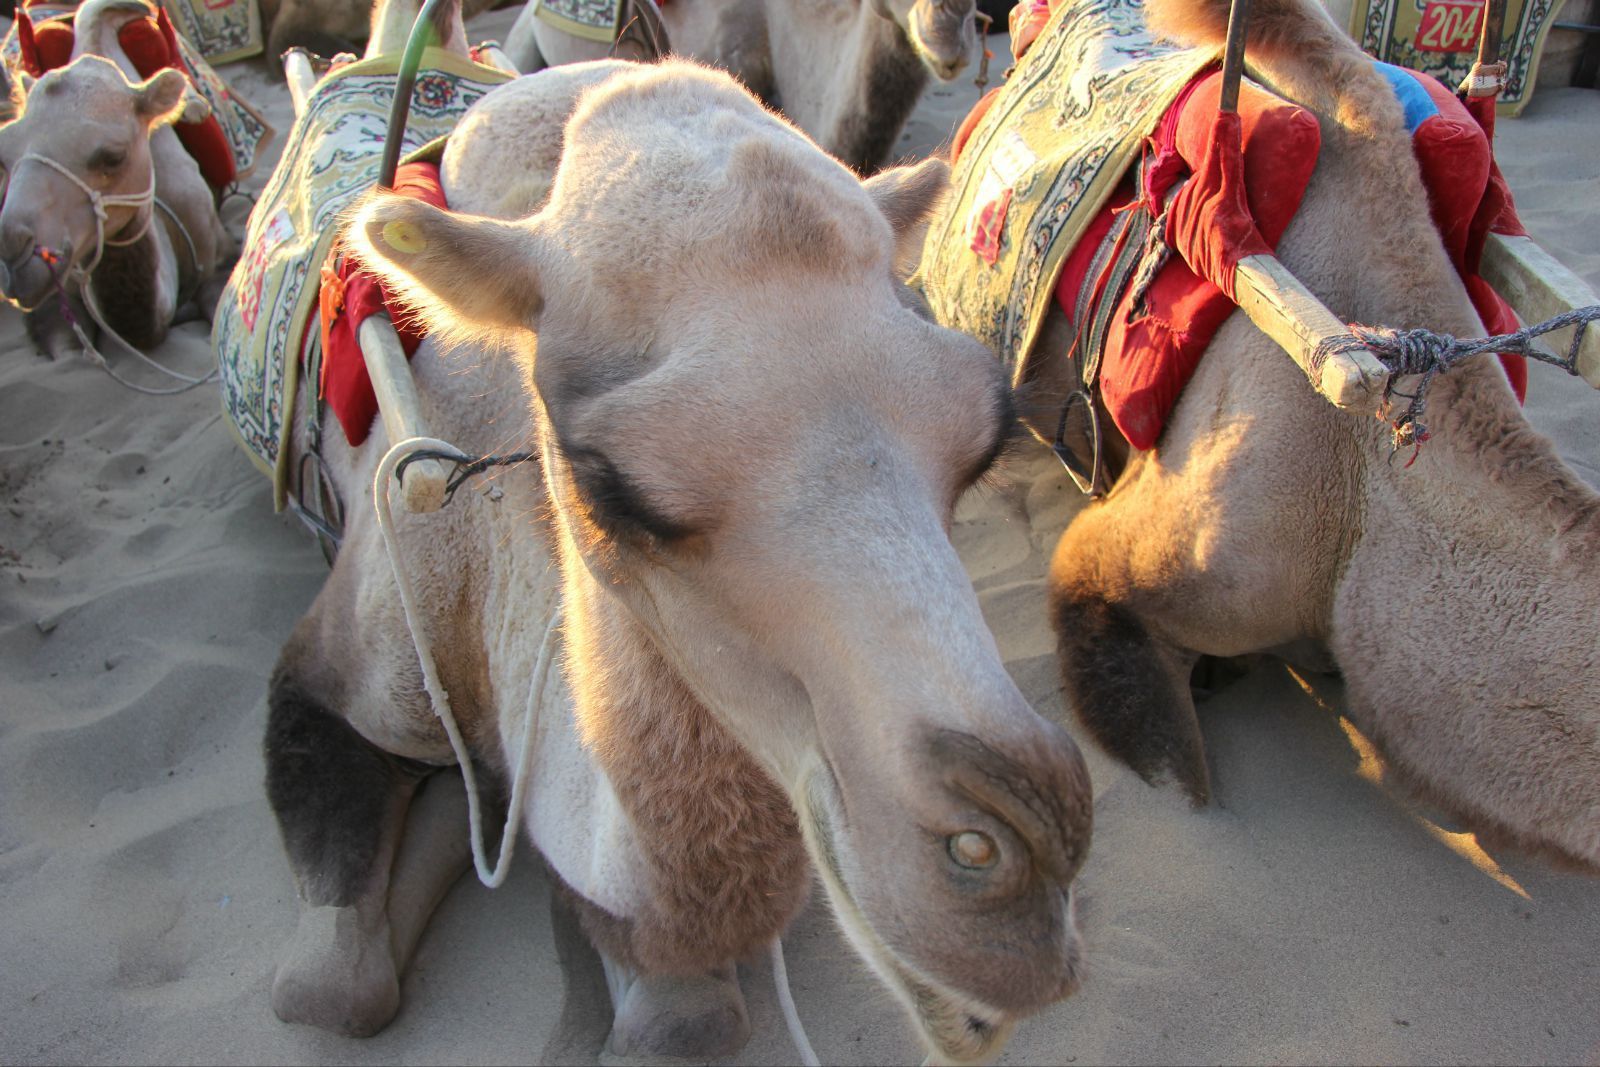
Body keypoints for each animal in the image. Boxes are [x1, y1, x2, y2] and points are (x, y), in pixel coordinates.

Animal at [0, 0, 232, 363]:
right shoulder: (52, 299)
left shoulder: (216, 255)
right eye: (4, 157)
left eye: (112, 157)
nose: (12, 252)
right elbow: (67, 353)